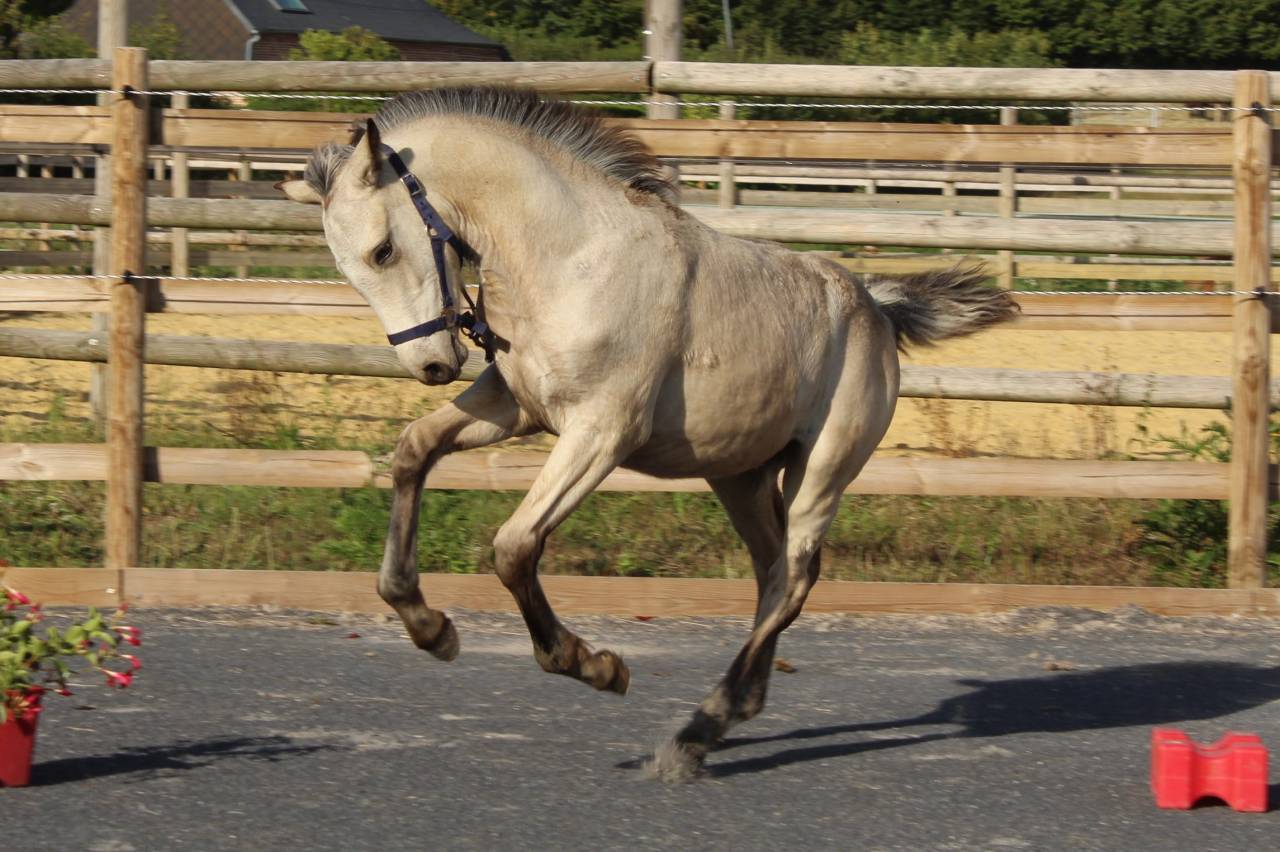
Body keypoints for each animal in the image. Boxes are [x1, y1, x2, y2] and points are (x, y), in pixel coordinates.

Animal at [279, 86, 1018, 780]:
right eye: (346, 267)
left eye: (382, 249)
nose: (431, 365)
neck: (569, 258)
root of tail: (877, 307)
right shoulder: (514, 404)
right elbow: (413, 451)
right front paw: (428, 626)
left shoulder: (602, 431)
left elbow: (515, 548)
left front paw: (595, 665)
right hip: (739, 476)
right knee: (772, 571)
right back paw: (736, 710)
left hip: (822, 471)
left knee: (794, 578)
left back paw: (697, 730)